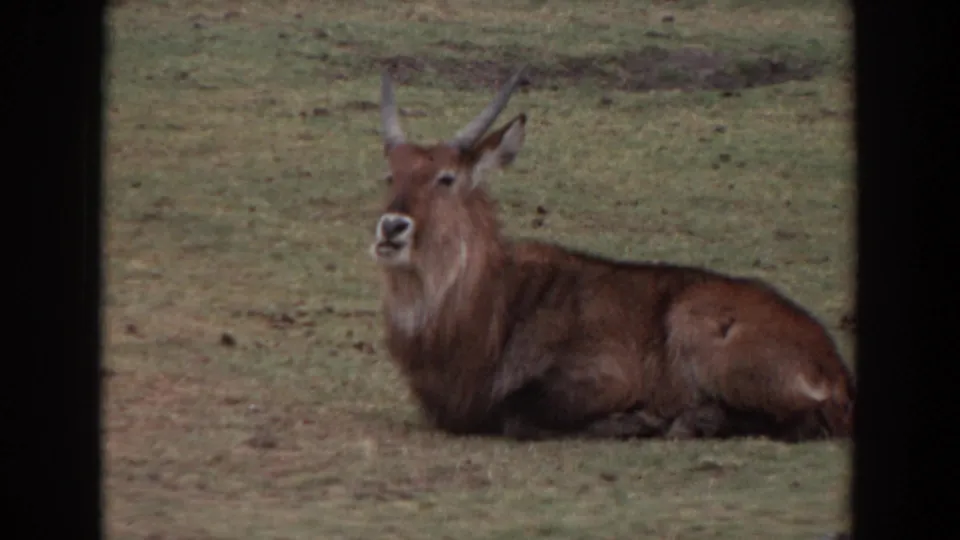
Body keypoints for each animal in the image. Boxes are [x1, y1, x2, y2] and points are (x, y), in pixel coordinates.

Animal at [368, 65, 855, 442]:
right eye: (391, 175)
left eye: (446, 177)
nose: (392, 226)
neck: (492, 307)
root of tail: (832, 364)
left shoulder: (603, 377)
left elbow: (518, 413)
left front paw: (637, 420)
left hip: (694, 322)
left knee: (805, 420)